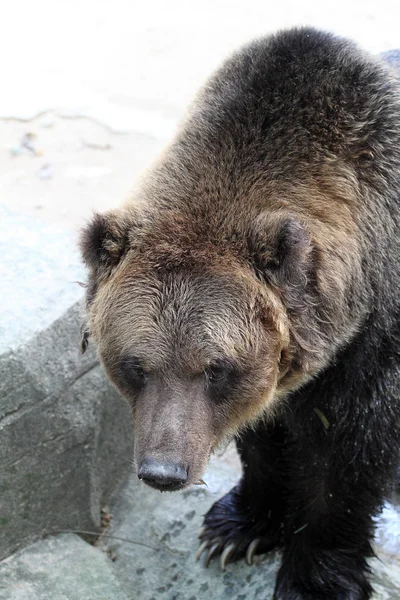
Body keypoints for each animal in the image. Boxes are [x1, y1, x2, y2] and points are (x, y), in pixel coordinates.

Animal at [79, 25, 400, 596]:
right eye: (135, 365)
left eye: (214, 367)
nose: (163, 471)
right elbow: (263, 434)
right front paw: (237, 528)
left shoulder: (372, 343)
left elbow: (349, 455)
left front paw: (315, 577)